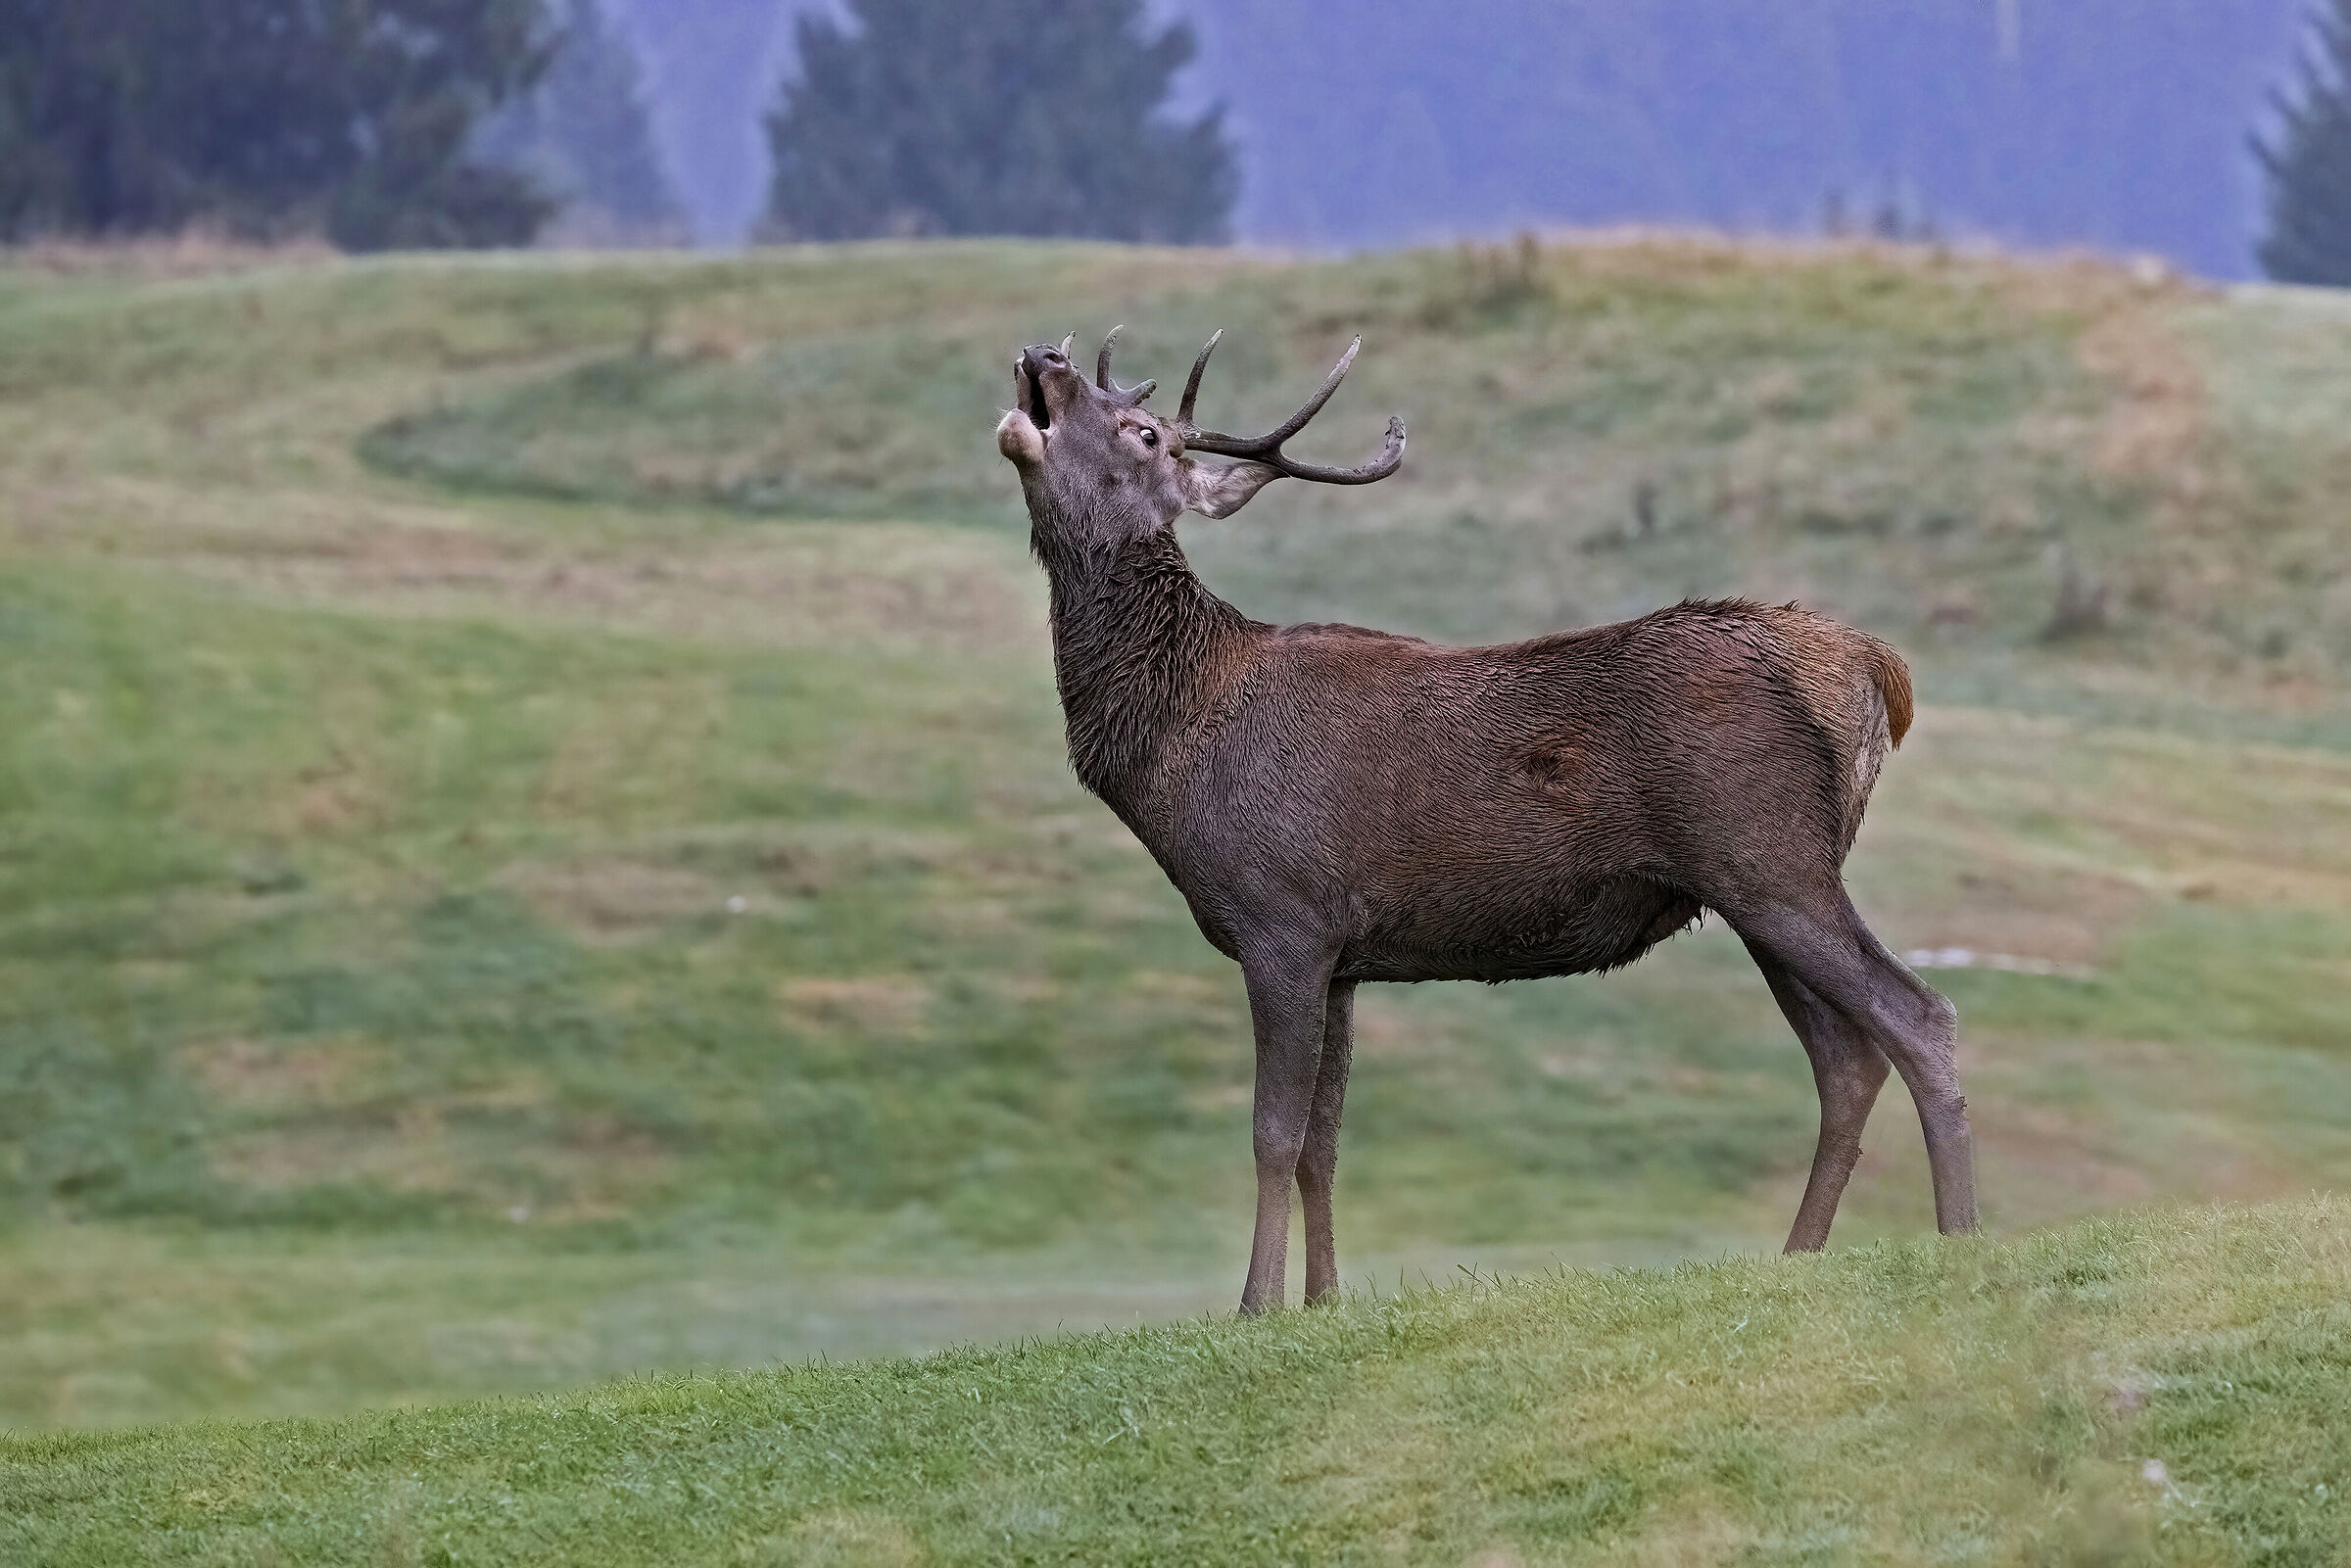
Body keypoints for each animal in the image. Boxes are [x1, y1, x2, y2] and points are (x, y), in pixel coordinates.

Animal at [996, 327, 1977, 1315]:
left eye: (1147, 434)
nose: (1046, 354)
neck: (1174, 745)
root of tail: (1872, 671)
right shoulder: (1344, 954)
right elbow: (1324, 1142)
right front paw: (1323, 1301)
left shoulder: (1283, 917)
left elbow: (1273, 1134)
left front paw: (1254, 1306)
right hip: (1756, 885)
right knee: (1847, 1058)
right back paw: (1798, 1255)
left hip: (1768, 859)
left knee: (1917, 1015)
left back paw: (1962, 1237)